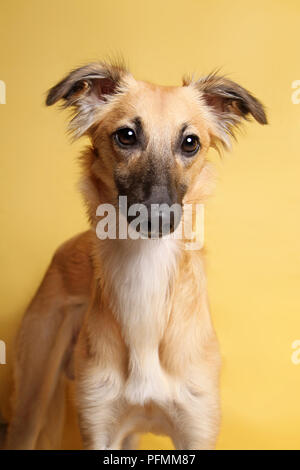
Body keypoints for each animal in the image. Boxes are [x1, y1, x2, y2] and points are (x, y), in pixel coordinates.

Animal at [4, 60, 268, 450]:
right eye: (126, 135)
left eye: (190, 142)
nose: (158, 218)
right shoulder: (99, 425)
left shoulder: (197, 428)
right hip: (32, 397)